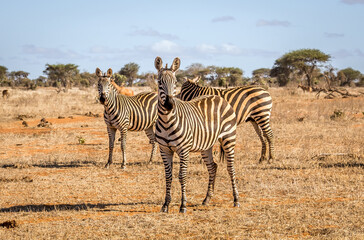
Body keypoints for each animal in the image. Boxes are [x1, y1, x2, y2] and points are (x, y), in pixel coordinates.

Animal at [155, 56, 240, 214]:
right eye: (159, 82)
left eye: (175, 82)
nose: (169, 105)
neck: (167, 121)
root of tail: (218, 96)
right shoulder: (164, 149)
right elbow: (168, 176)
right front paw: (166, 205)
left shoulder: (183, 150)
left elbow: (182, 176)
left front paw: (183, 205)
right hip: (206, 145)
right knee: (213, 167)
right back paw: (207, 199)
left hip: (229, 138)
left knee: (230, 168)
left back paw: (236, 200)